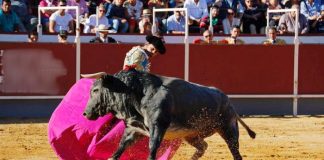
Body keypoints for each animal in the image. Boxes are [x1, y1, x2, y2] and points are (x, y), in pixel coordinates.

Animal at [83, 70, 256, 160]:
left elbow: (152, 148)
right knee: (203, 146)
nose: (85, 113)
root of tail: (228, 101)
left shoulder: (158, 126)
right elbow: (119, 148)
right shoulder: (133, 130)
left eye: (96, 90)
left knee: (235, 153)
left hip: (228, 129)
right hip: (192, 135)